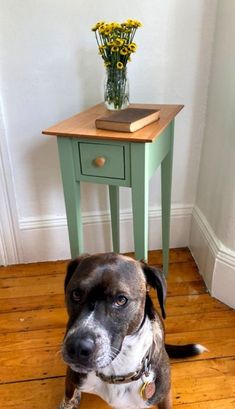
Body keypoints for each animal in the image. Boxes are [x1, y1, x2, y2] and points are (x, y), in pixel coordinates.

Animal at [58, 252, 206, 408]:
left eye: (121, 300)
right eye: (76, 294)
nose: (77, 348)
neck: (116, 372)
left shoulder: (164, 396)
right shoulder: (72, 377)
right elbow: (68, 393)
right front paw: (69, 401)